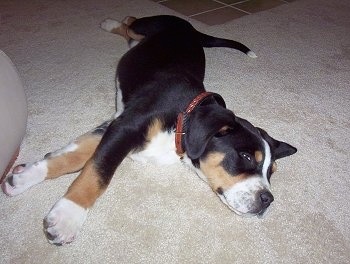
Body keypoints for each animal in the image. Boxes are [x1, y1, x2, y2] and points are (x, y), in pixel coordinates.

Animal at [0, 15, 296, 244]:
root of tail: (188, 26)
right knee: (129, 22)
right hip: (145, 26)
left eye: (271, 171)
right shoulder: (125, 126)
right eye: (245, 157)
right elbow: (97, 173)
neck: (181, 119)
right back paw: (109, 22)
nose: (267, 199)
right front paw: (67, 217)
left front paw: (22, 178)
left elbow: (77, 158)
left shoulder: (115, 124)